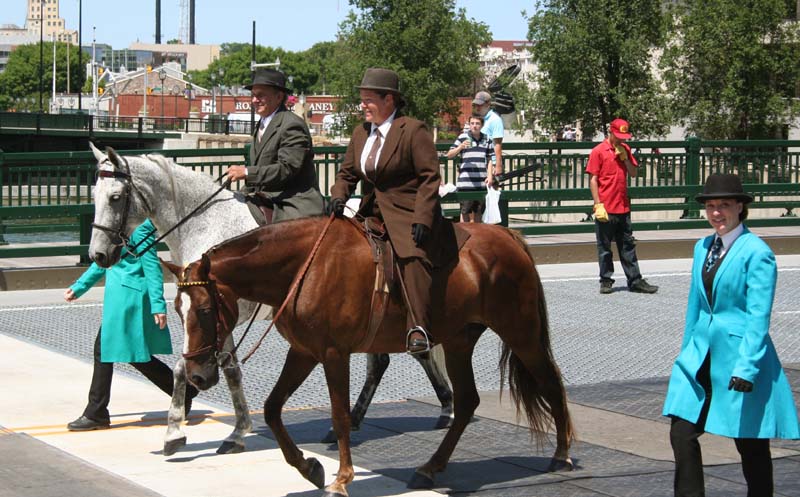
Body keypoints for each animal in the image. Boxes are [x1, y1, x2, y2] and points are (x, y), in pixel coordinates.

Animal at [86, 144, 454, 455]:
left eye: (116, 197)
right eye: (94, 195)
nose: (98, 255)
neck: (205, 225)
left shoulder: (224, 312)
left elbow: (189, 365)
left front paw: (176, 432)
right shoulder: (214, 315)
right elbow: (229, 370)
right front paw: (235, 431)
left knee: (408, 352)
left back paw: (440, 408)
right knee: (389, 359)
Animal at [167, 216, 575, 496]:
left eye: (205, 310)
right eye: (176, 309)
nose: (197, 375)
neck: (304, 268)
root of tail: (507, 235)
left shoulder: (334, 355)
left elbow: (341, 416)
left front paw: (341, 478)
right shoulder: (304, 352)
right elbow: (272, 409)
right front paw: (309, 467)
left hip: (522, 333)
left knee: (551, 383)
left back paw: (562, 454)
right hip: (460, 342)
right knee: (467, 402)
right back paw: (430, 467)